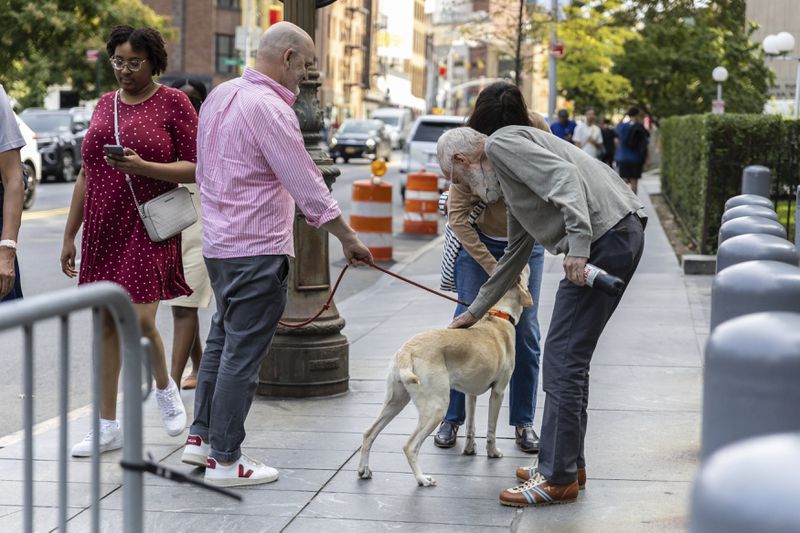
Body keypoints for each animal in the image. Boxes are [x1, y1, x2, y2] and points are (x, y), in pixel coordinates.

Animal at [358, 266, 532, 486]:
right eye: (523, 275)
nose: (527, 265)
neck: (499, 315)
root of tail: (407, 349)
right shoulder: (498, 391)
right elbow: (491, 429)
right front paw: (492, 452)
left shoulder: (470, 393)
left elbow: (471, 426)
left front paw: (469, 450)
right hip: (436, 406)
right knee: (410, 445)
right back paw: (422, 478)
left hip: (395, 400)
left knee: (369, 432)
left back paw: (364, 469)